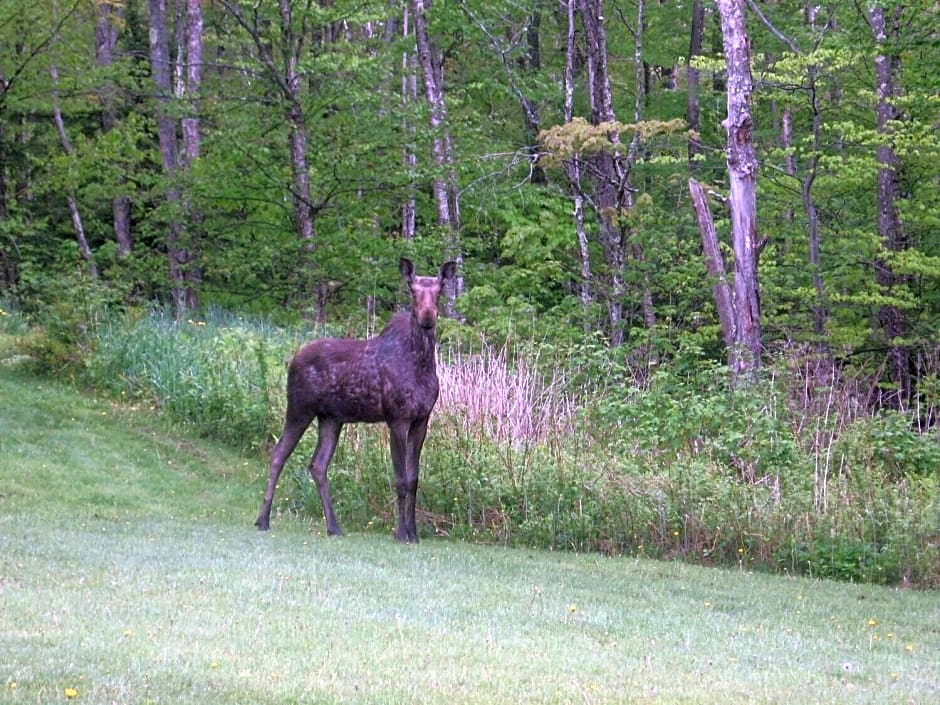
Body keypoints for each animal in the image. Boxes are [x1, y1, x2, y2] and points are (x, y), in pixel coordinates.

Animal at [255, 256, 458, 540]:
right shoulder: (396, 418)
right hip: (299, 409)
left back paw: (334, 526)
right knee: (278, 454)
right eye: (412, 290)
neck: (422, 365)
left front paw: (414, 534)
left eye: (439, 291)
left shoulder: (421, 420)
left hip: (331, 418)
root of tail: (292, 359)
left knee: (317, 465)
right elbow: (400, 479)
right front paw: (401, 534)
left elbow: (414, 479)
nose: (427, 317)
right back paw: (262, 520)